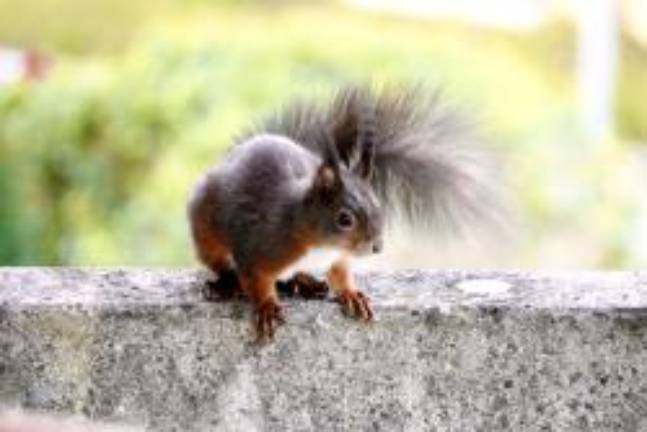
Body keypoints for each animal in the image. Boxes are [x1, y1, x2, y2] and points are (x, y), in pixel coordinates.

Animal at [188, 84, 500, 342]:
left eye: (378, 206)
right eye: (344, 219)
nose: (377, 246)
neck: (316, 243)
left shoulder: (337, 259)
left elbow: (340, 276)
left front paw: (351, 294)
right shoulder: (259, 247)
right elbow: (256, 281)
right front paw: (266, 307)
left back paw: (305, 282)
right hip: (206, 230)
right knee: (219, 262)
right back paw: (226, 284)